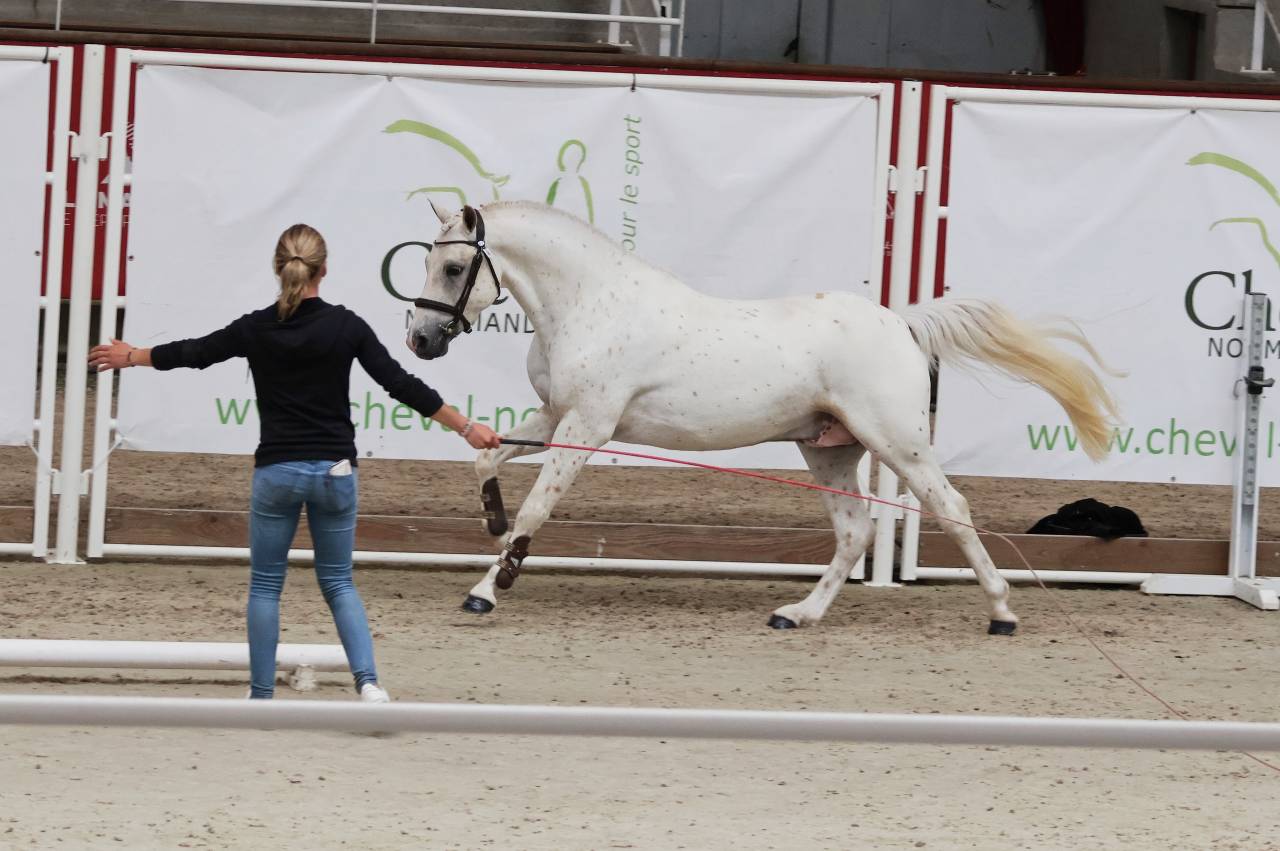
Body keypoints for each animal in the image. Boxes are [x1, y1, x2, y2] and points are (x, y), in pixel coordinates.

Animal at [407, 200, 1118, 634]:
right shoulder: (555, 416)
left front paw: (489, 587)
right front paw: (495, 531)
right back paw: (796, 614)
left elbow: (538, 507)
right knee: (855, 533)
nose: (419, 340)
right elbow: (485, 456)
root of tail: (900, 323)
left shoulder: (587, 427)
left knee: (951, 508)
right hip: (830, 449)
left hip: (898, 443)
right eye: (426, 261)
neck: (590, 303)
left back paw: (1002, 612)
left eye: (453, 266)